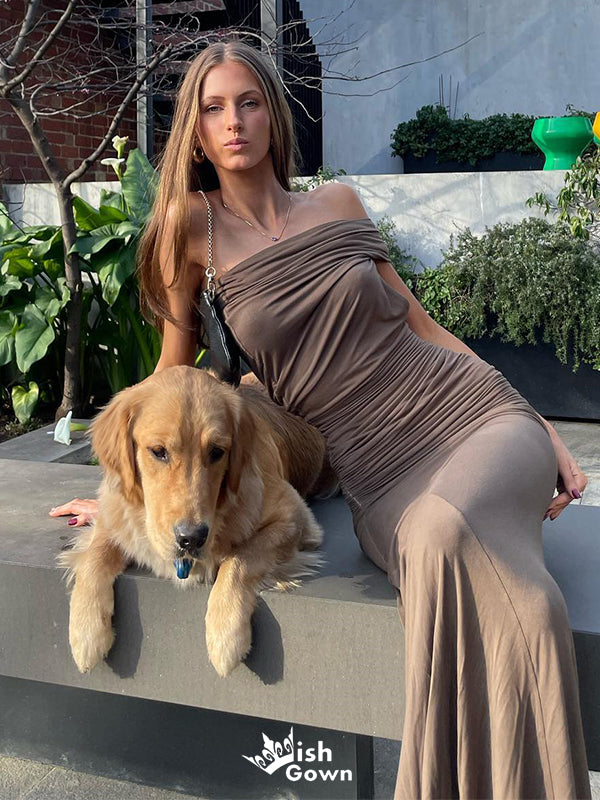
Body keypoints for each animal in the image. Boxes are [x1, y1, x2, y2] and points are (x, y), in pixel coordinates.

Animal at [57, 366, 338, 678]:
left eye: (217, 451)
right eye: (158, 451)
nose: (190, 538)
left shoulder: (295, 516)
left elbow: (240, 557)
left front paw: (226, 635)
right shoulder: (115, 513)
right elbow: (94, 555)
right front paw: (86, 633)